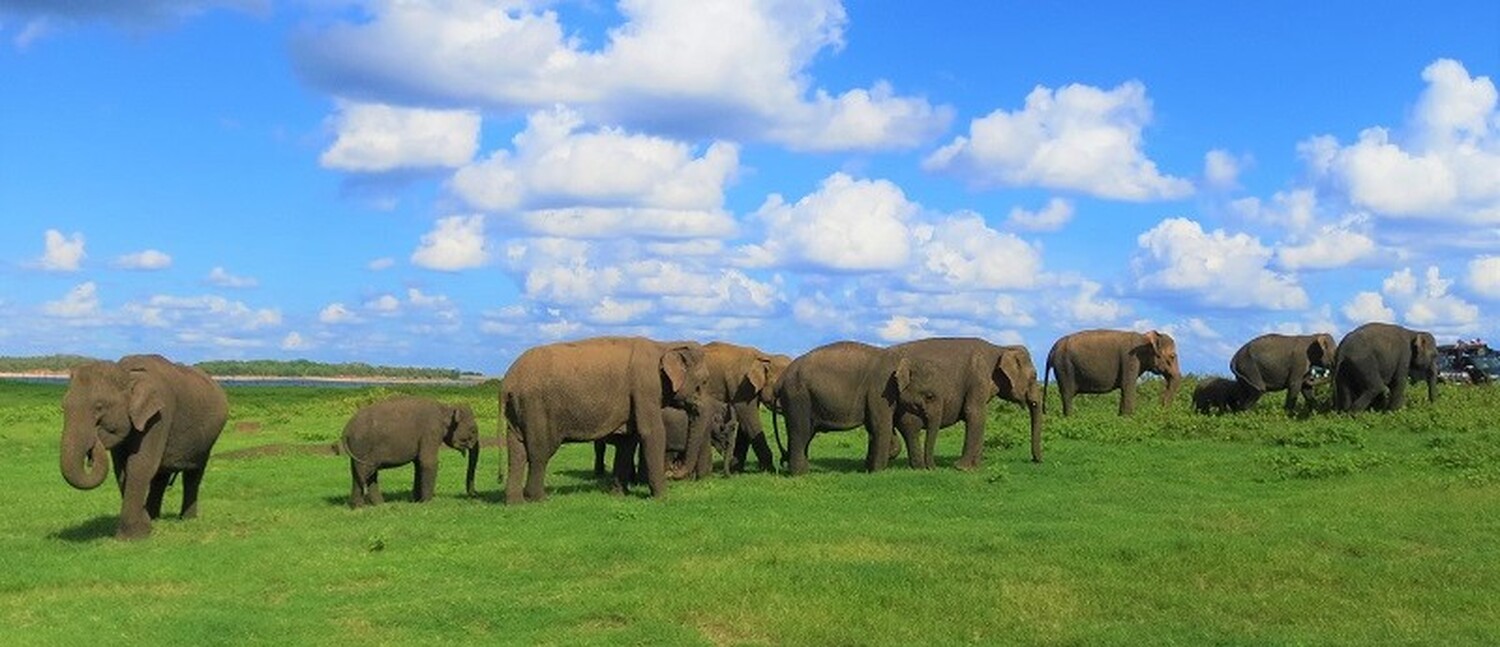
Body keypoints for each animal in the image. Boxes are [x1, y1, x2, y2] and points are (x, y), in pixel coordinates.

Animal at [58, 354, 226, 543]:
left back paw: (187, 519)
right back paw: (154, 517)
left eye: (99, 406)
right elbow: (122, 469)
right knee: (161, 476)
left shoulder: (159, 416)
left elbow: (139, 465)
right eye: (63, 406)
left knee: (193, 475)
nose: (92, 449)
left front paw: (133, 536)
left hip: (208, 440)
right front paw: (145, 525)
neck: (129, 372)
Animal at [340, 396, 480, 510]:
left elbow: (418, 464)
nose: (474, 494)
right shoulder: (431, 431)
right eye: (473, 430)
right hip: (362, 446)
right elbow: (428, 462)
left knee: (364, 472)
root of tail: (346, 429)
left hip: (358, 449)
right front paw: (428, 503)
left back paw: (377, 505)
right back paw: (359, 507)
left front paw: (417, 501)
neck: (445, 408)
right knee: (365, 471)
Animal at [498, 336, 708, 504]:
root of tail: (507, 381)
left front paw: (619, 495)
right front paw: (662, 499)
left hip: (518, 410)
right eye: (704, 382)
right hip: (536, 407)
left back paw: (516, 503)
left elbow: (627, 441)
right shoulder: (645, 386)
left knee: (517, 451)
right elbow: (651, 432)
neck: (665, 344)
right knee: (539, 453)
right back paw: (539, 499)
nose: (673, 469)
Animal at [888, 336, 1044, 468]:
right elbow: (974, 413)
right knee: (909, 425)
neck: (1001, 348)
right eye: (1034, 376)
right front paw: (962, 468)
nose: (1037, 460)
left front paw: (976, 466)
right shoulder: (977, 377)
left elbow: (980, 416)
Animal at [1044, 328, 1182, 414]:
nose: (1159, 409)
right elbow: (1128, 387)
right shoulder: (1130, 360)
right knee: (1067, 395)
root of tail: (1053, 348)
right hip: (1064, 367)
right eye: (1172, 356)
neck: (1145, 338)